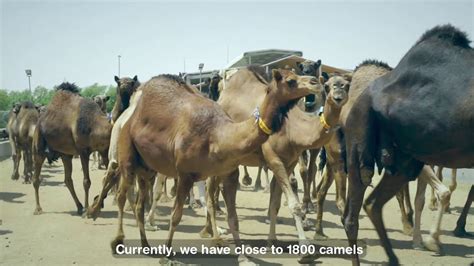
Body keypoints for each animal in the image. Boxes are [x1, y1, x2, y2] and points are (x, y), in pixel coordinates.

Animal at [32, 82, 112, 215]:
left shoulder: (104, 150)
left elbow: (107, 178)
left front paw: (97, 204)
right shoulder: (83, 151)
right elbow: (86, 181)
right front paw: (89, 209)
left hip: (65, 154)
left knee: (68, 180)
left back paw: (79, 207)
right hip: (38, 150)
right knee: (36, 178)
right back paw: (38, 208)